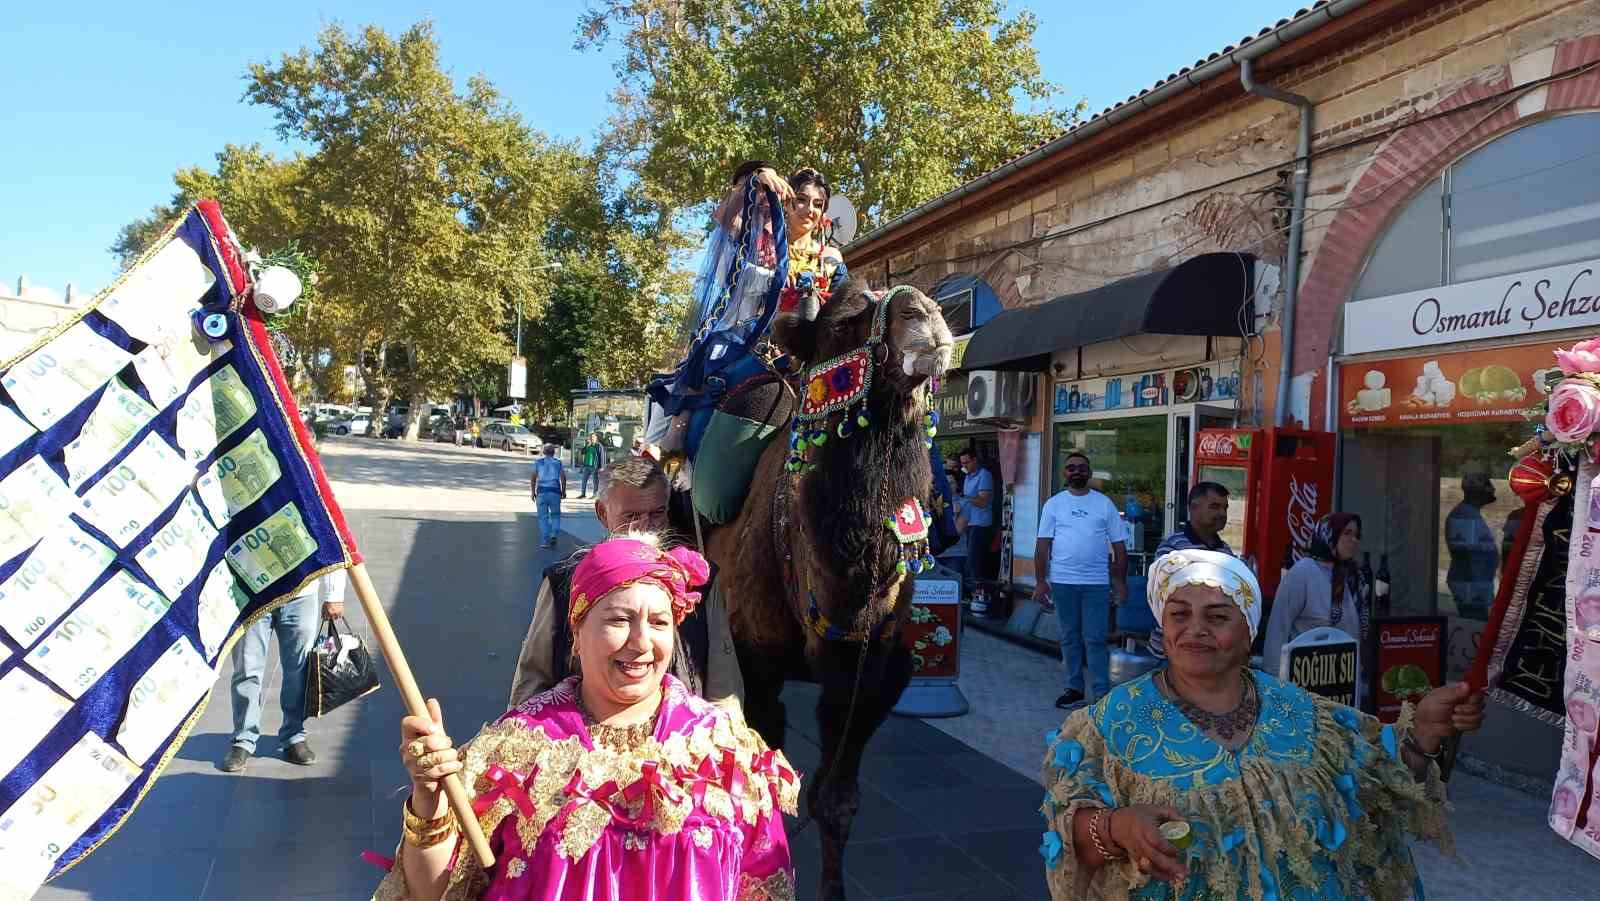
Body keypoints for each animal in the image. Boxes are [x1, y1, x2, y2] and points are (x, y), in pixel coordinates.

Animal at [704, 278, 947, 896]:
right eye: (841, 322)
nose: (925, 312)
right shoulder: (755, 662)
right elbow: (765, 781)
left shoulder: (872, 676)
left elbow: (836, 802)